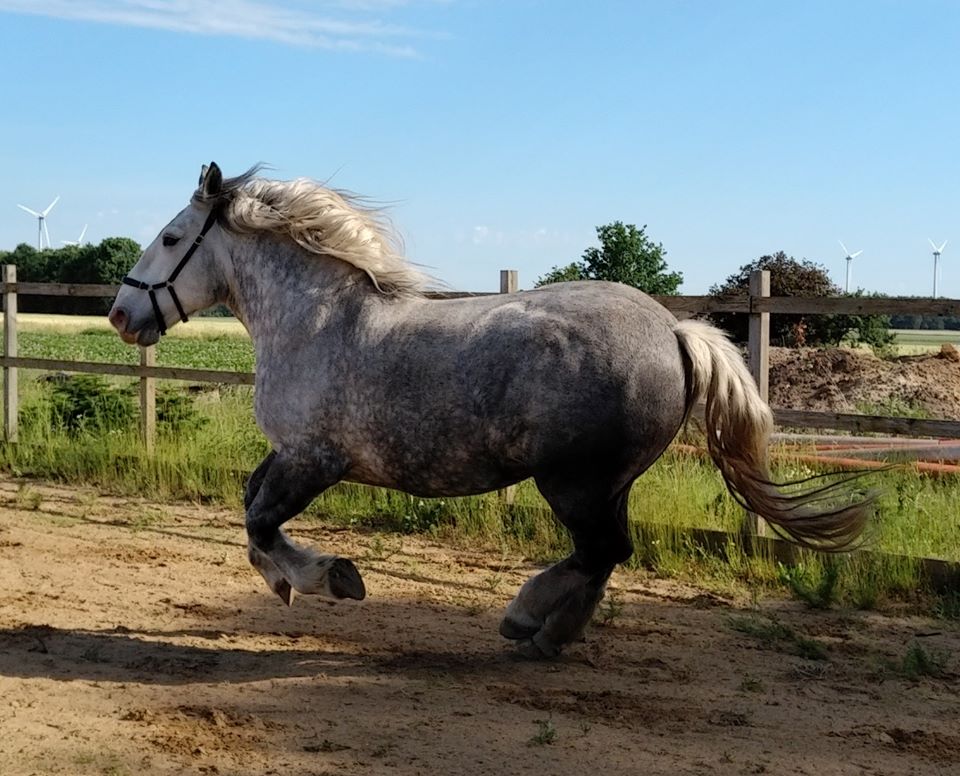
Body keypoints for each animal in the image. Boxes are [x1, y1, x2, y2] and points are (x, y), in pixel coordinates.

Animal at [109, 164, 872, 656]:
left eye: (172, 238)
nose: (121, 314)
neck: (314, 323)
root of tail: (673, 332)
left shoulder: (314, 458)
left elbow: (261, 521)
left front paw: (334, 578)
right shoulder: (291, 454)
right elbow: (248, 510)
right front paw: (289, 583)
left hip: (575, 482)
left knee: (601, 552)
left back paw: (526, 620)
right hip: (609, 484)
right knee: (605, 555)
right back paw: (543, 634)